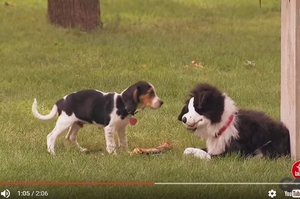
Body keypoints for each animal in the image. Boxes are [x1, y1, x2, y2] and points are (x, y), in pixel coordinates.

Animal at [32, 80, 163, 155]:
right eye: (150, 93)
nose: (161, 103)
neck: (122, 103)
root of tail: (60, 101)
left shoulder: (122, 128)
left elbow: (123, 141)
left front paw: (126, 152)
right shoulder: (109, 128)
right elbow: (111, 143)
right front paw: (114, 154)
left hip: (77, 123)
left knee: (70, 137)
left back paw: (81, 150)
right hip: (64, 122)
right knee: (51, 136)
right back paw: (52, 153)